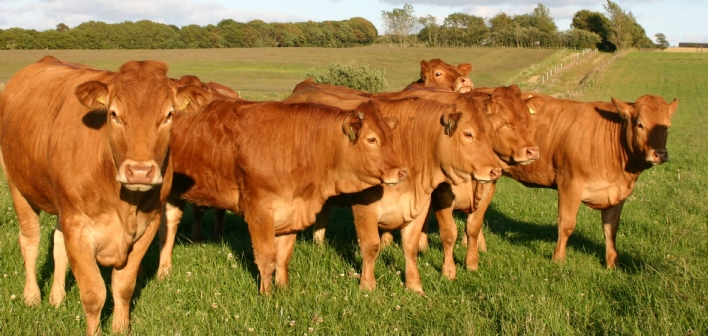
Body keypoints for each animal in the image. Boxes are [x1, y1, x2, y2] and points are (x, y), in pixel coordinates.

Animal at [0, 56, 209, 334]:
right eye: (114, 114)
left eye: (168, 115)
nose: (139, 171)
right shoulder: (77, 226)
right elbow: (93, 294)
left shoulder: (149, 223)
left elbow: (123, 286)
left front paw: (120, 328)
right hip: (17, 185)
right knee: (30, 240)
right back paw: (32, 296)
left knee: (57, 243)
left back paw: (57, 298)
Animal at [157, 97, 406, 292]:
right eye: (371, 139)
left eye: (391, 137)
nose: (401, 171)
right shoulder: (259, 214)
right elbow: (267, 257)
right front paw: (267, 295)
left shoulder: (291, 211)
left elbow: (283, 255)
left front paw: (283, 288)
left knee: (168, 229)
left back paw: (164, 272)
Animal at [284, 82, 500, 294]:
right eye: (468, 133)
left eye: (490, 132)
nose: (495, 171)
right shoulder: (365, 206)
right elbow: (371, 245)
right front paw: (367, 285)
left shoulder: (419, 205)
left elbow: (411, 246)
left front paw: (414, 285)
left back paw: (319, 246)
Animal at [500, 93, 676, 266]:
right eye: (640, 125)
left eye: (667, 126)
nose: (660, 154)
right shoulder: (569, 184)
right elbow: (566, 224)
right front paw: (558, 259)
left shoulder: (616, 193)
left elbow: (611, 229)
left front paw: (613, 264)